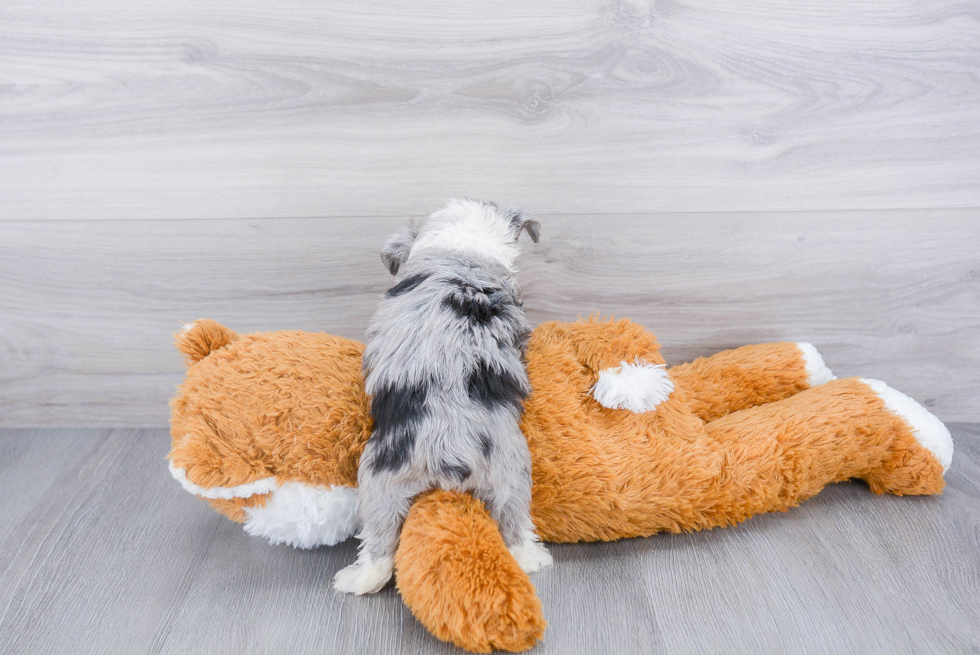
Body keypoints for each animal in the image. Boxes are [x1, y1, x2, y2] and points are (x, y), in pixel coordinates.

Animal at [334, 197, 552, 592]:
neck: (462, 247)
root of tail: (447, 447)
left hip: (377, 484)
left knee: (379, 551)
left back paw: (355, 578)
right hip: (512, 472)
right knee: (514, 527)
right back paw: (534, 558)